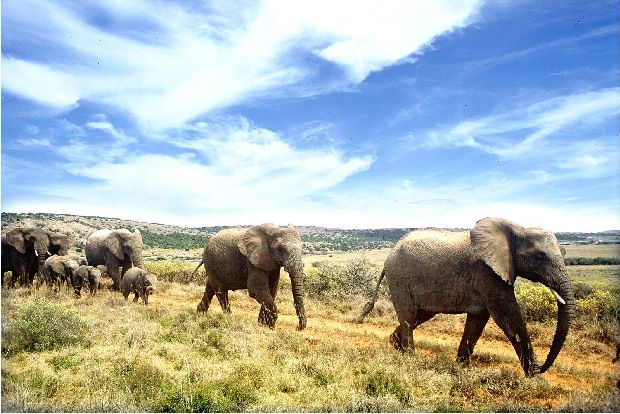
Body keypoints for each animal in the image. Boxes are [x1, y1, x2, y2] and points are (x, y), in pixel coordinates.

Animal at [358, 218, 576, 376]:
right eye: (539, 256)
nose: (541, 367)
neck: (518, 228)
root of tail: (389, 255)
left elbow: (478, 320)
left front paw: (462, 367)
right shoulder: (487, 272)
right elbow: (507, 316)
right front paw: (533, 376)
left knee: (418, 316)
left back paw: (396, 345)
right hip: (399, 279)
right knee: (408, 316)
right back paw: (411, 358)